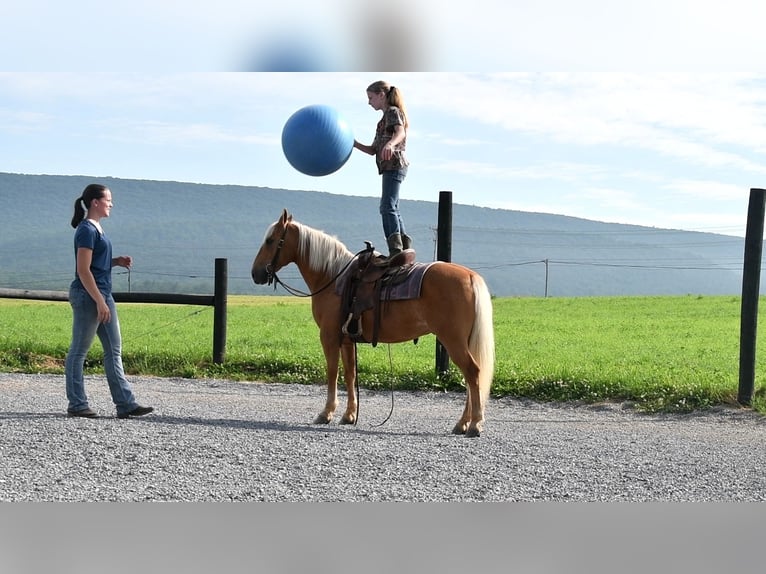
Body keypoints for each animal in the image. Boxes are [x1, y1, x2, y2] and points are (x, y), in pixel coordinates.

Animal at [252, 209, 498, 438]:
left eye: (270, 240)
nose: (256, 274)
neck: (333, 277)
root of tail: (470, 276)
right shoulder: (347, 340)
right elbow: (350, 374)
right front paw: (349, 415)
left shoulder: (329, 337)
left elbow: (332, 372)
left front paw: (326, 413)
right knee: (470, 378)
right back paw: (463, 423)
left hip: (453, 341)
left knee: (473, 373)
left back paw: (474, 424)